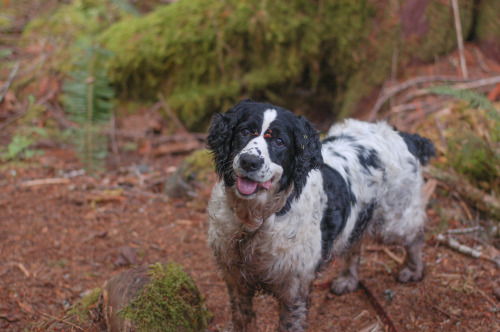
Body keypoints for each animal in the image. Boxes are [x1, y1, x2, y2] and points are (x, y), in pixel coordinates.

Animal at [207, 100, 434, 330]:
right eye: (244, 131)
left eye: (279, 141)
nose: (249, 161)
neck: (257, 218)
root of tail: (403, 136)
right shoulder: (235, 279)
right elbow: (241, 317)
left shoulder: (294, 290)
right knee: (355, 244)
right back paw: (348, 279)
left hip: (394, 221)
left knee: (414, 236)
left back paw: (413, 270)